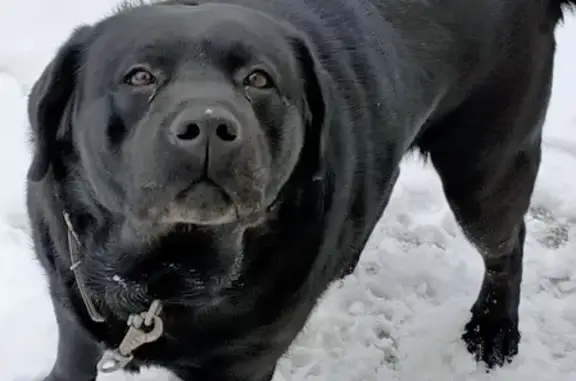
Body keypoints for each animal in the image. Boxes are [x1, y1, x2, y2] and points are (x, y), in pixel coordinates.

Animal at [27, 0, 576, 378]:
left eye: (258, 79)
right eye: (140, 76)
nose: (209, 124)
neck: (163, 279)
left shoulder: (246, 360)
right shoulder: (72, 317)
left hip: (486, 165)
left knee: (507, 242)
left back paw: (494, 328)